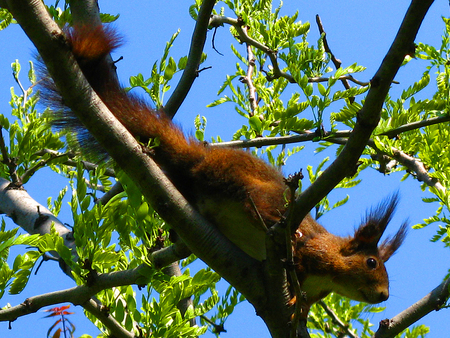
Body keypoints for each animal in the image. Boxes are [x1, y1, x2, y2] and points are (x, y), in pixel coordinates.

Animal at [39, 24, 408, 312]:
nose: (384, 296)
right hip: (248, 187)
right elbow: (300, 263)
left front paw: (299, 308)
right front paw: (292, 291)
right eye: (371, 262)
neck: (331, 270)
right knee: (256, 204)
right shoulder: (315, 253)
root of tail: (202, 159)